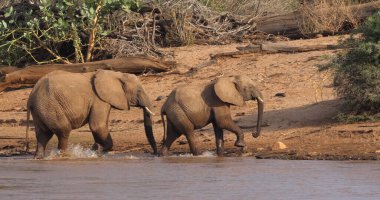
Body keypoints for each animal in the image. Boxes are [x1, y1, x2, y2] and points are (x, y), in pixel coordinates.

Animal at [26, 69, 157, 159]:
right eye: (139, 91)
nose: (155, 154)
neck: (116, 74)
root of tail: (31, 94)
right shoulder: (99, 99)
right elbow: (97, 126)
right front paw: (100, 150)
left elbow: (97, 127)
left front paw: (95, 149)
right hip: (50, 105)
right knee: (63, 130)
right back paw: (65, 156)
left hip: (41, 109)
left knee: (43, 135)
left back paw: (39, 158)